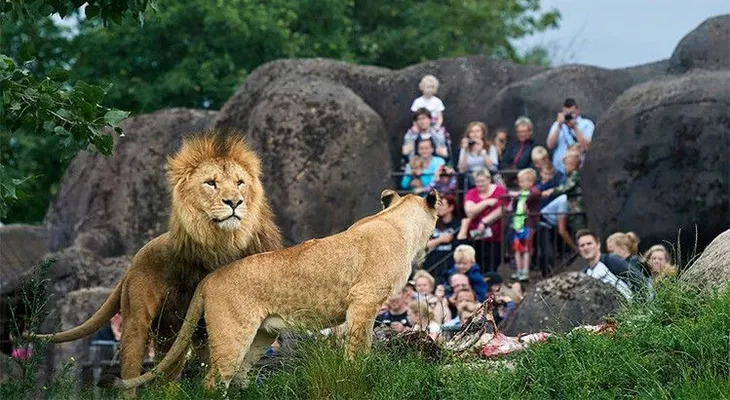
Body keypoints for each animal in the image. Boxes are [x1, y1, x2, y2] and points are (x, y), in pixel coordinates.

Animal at [32, 130, 283, 395]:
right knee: (133, 378)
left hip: (169, 331)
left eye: (239, 183)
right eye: (211, 183)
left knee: (165, 381)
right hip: (139, 324)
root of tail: (133, 262)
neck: (225, 243)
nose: (234, 202)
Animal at [115, 189, 439, 392]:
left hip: (262, 334)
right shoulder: (365, 299)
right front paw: (356, 375)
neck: (397, 221)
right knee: (214, 381)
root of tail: (208, 279)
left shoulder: (360, 306)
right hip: (233, 333)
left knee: (240, 376)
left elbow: (359, 342)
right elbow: (359, 346)